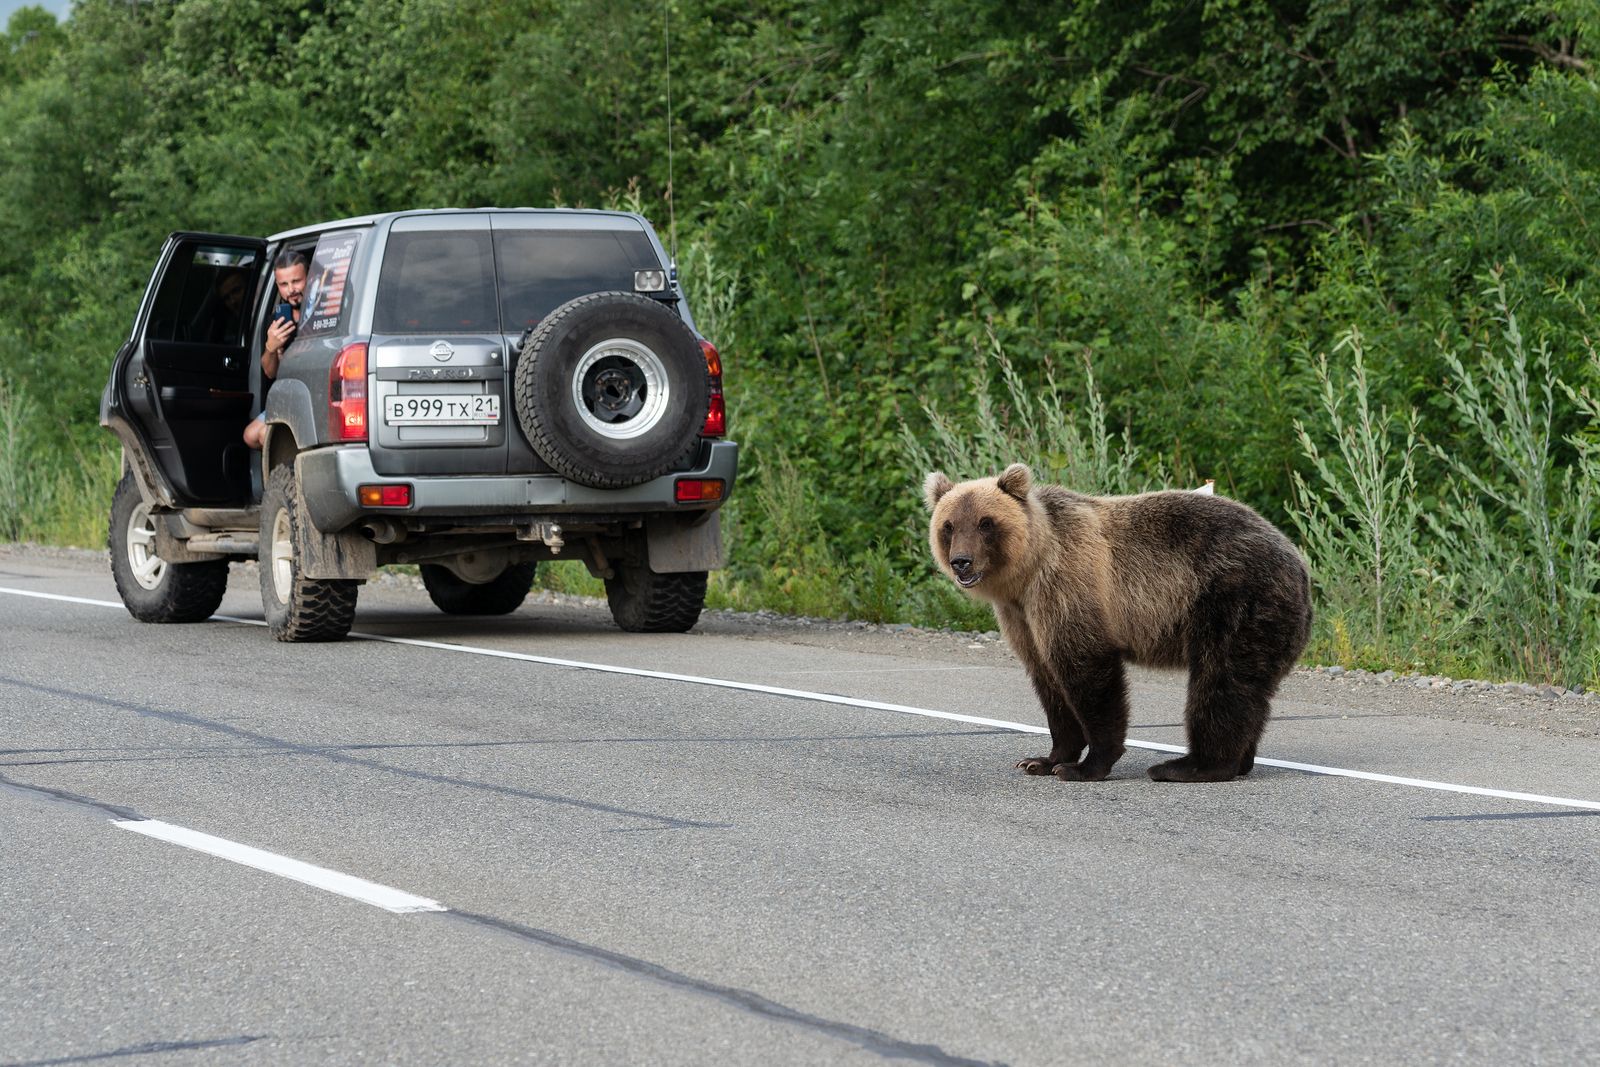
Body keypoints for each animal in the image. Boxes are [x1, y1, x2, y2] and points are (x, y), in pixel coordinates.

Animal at [928, 463, 1312, 780]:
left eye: (986, 522)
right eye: (949, 525)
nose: (961, 561)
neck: (1027, 572)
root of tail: (1298, 562)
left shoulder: (1068, 588)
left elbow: (1089, 674)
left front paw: (1084, 767)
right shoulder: (1022, 617)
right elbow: (1048, 681)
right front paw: (1042, 760)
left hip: (1232, 599)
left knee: (1221, 682)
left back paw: (1188, 766)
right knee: (1249, 689)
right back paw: (1239, 760)